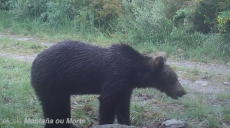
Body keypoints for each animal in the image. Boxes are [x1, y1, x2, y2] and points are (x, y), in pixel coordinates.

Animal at [30, 40, 186, 127]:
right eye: (173, 79)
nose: (183, 91)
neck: (134, 73)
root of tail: (34, 63)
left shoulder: (125, 87)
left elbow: (123, 107)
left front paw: (125, 122)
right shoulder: (115, 76)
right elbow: (107, 102)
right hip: (53, 81)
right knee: (54, 107)